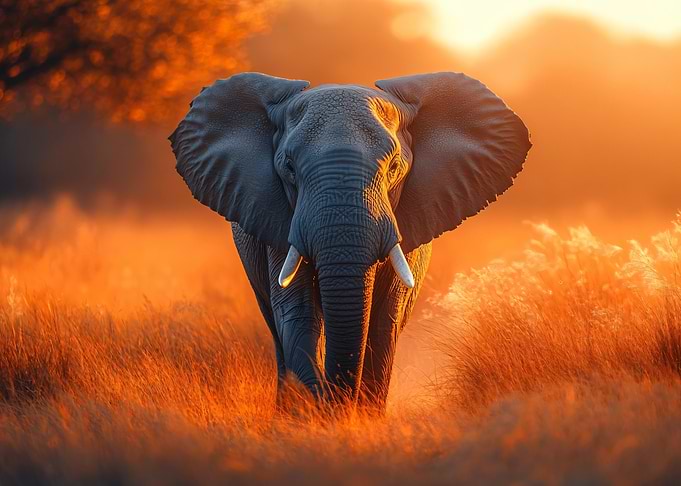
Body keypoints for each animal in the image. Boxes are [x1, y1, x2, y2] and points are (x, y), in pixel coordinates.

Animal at [169, 72, 531, 411]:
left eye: (394, 167)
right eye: (289, 168)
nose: (338, 403)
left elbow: (384, 323)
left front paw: (359, 418)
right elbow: (298, 315)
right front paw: (317, 416)